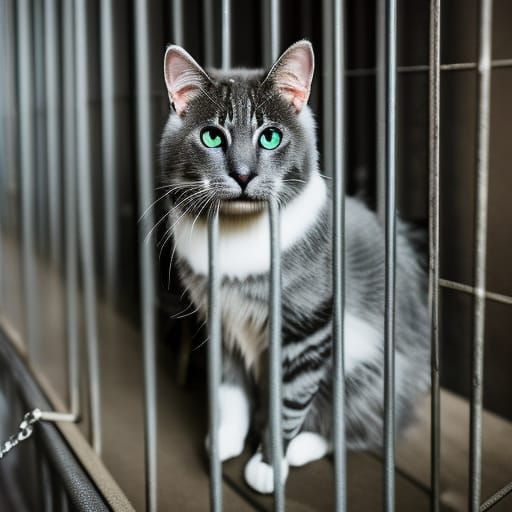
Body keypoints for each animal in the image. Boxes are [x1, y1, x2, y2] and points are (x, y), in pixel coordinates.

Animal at [161, 39, 432, 492]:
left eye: (270, 137)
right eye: (212, 136)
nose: (243, 174)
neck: (238, 236)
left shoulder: (307, 329)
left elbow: (287, 403)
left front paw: (270, 465)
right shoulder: (220, 323)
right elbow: (229, 391)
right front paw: (224, 441)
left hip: (364, 367)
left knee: (360, 428)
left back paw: (306, 447)